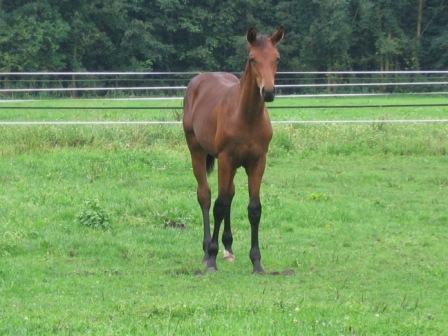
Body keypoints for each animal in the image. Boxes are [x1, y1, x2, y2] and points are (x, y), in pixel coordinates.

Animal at [182, 26, 284, 272]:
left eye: (276, 58)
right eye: (252, 58)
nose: (268, 92)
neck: (246, 117)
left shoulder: (257, 161)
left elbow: (254, 209)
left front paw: (257, 262)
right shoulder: (226, 159)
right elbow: (219, 205)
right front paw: (211, 257)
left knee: (229, 194)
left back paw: (228, 248)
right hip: (197, 151)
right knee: (206, 196)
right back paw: (206, 249)